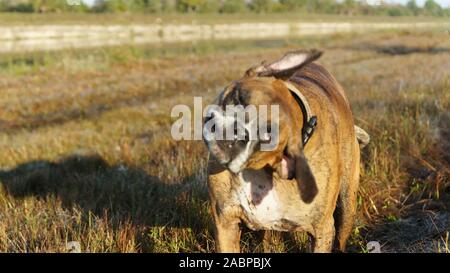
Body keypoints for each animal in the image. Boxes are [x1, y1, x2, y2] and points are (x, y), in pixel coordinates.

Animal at [204, 50, 370, 252]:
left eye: (266, 136)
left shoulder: (321, 230)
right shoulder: (225, 223)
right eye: (240, 98)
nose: (234, 132)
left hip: (347, 204)